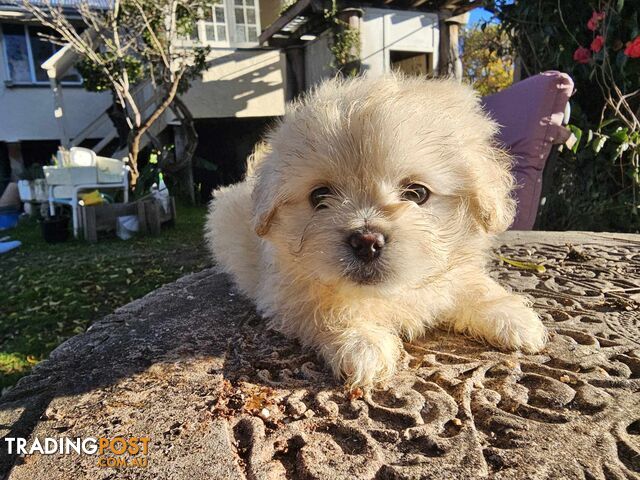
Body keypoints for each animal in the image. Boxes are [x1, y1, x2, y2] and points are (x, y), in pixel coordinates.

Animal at [205, 75, 544, 386]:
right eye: (319, 196)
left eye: (417, 193)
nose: (366, 241)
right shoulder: (285, 292)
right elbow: (324, 305)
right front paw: (361, 343)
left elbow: (474, 284)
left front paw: (513, 317)